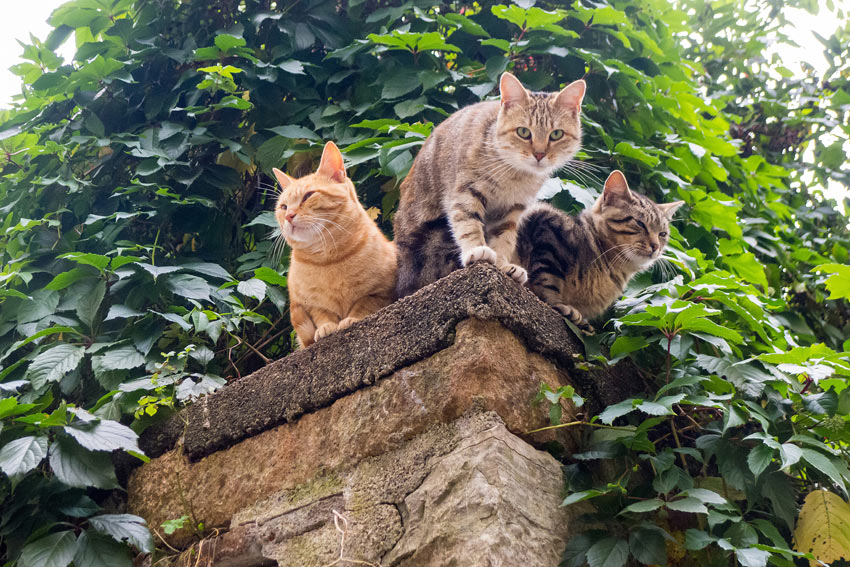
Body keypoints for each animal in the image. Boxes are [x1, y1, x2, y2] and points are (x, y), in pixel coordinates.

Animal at [272, 140, 398, 348]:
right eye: (283, 207)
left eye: (308, 196)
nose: (289, 215)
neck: (327, 260)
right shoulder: (312, 305)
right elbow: (323, 314)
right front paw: (327, 326)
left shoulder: (380, 292)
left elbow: (363, 304)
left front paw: (352, 319)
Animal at [390, 72, 584, 298]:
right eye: (523, 132)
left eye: (556, 134)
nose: (539, 154)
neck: (516, 175)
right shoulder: (465, 192)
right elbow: (468, 223)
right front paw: (477, 249)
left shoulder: (512, 208)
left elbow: (504, 238)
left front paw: (502, 264)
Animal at [510, 171, 684, 336]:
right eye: (640, 223)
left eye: (662, 234)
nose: (656, 246)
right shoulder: (546, 223)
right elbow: (548, 280)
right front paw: (557, 304)